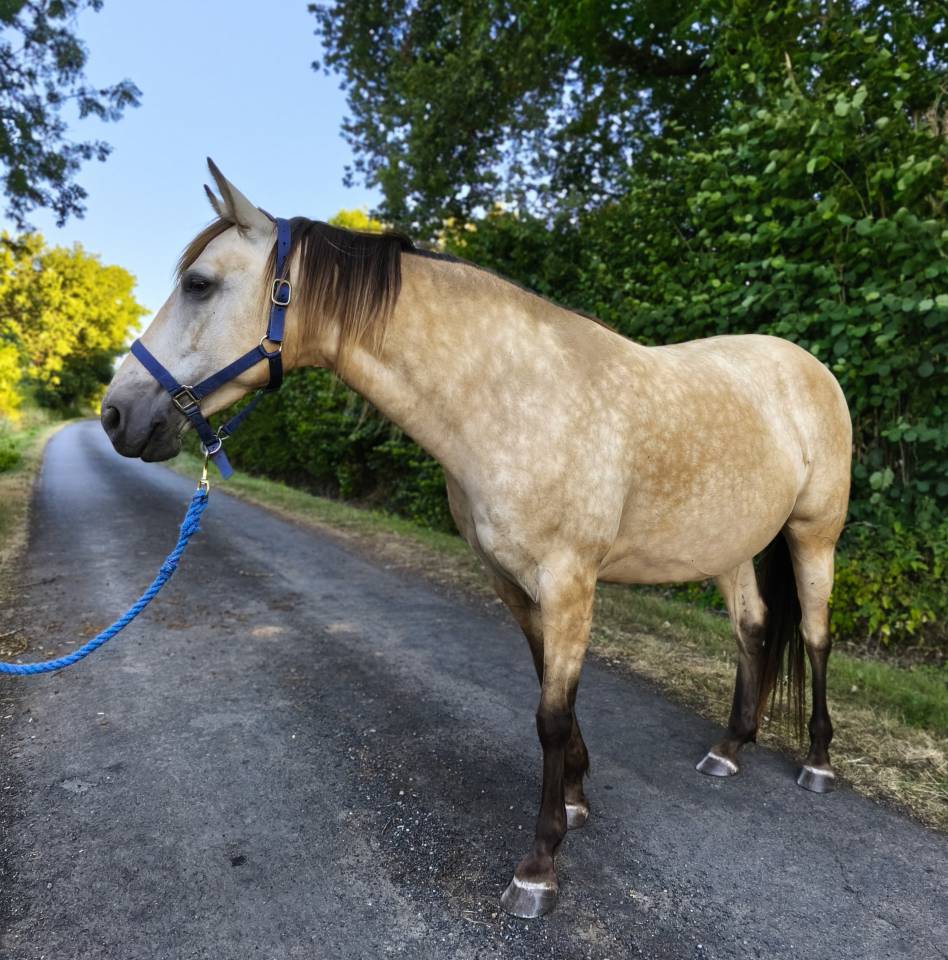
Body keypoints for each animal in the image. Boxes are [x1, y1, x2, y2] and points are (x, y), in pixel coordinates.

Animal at [101, 161, 852, 919]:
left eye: (200, 284)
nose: (115, 414)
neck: (514, 398)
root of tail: (807, 365)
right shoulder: (510, 579)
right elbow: (549, 692)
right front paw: (575, 798)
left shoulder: (569, 582)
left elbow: (552, 715)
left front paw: (540, 865)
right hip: (731, 547)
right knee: (753, 629)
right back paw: (730, 747)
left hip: (814, 535)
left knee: (814, 635)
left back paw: (817, 763)